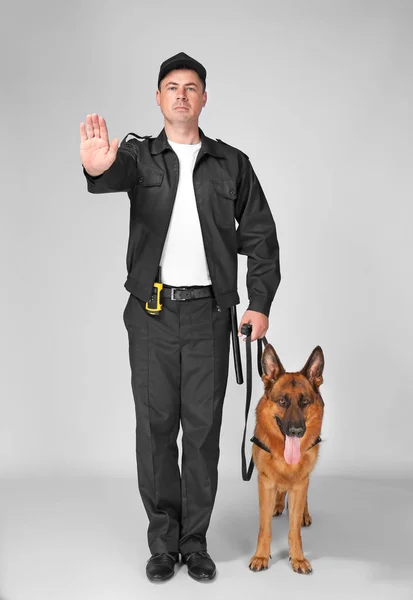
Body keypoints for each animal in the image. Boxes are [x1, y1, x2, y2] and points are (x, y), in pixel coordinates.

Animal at [248, 344, 326, 576]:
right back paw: (278, 504)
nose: (296, 431)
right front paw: (261, 556)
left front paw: (298, 558)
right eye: (282, 401)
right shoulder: (265, 482)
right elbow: (264, 527)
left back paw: (304, 515)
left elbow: (294, 530)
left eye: (305, 402)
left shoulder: (300, 483)